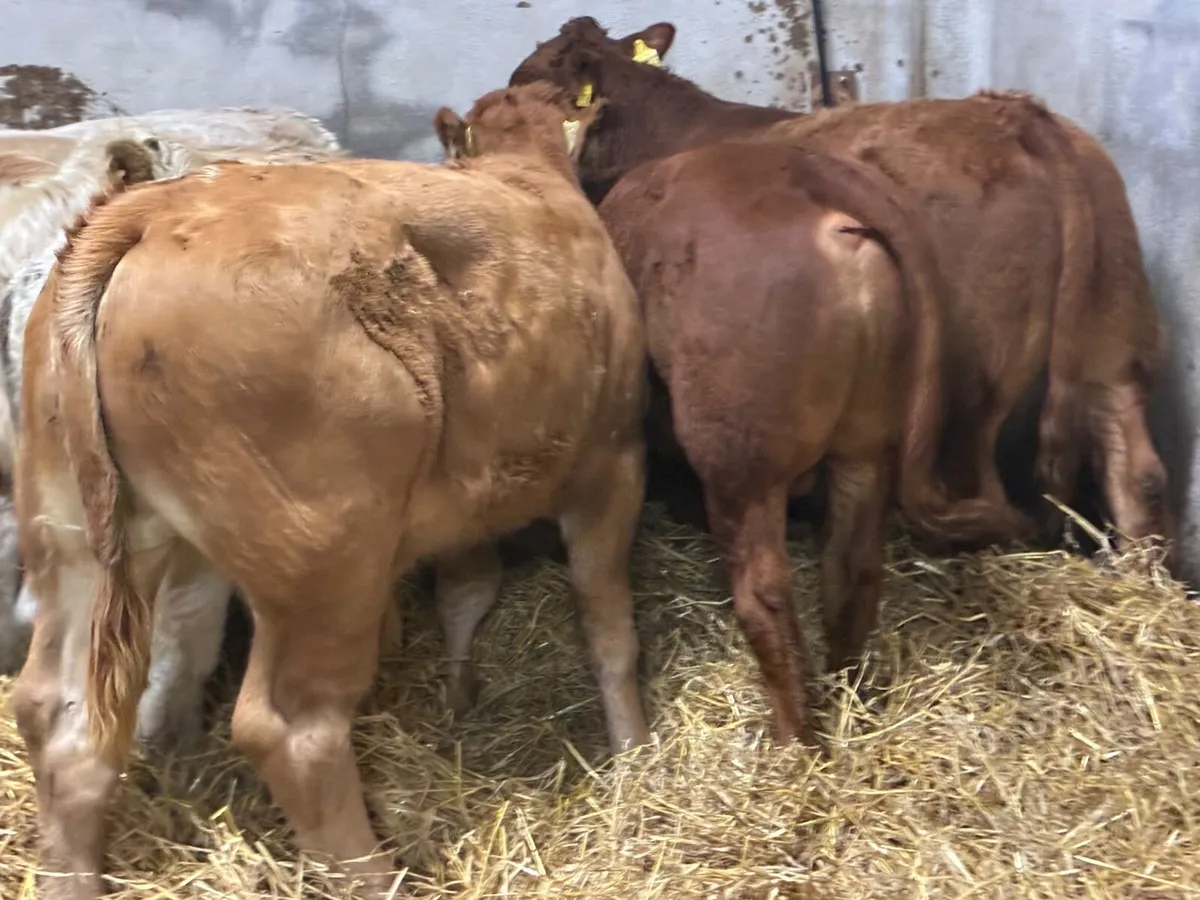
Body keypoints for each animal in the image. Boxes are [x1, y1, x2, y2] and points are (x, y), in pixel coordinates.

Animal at [11, 82, 647, 898]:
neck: (527, 175)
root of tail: (151, 209)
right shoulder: (613, 461)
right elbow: (609, 629)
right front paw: (635, 750)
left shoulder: (467, 506)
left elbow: (468, 592)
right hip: (326, 558)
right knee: (290, 730)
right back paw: (376, 875)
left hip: (75, 536)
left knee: (62, 718)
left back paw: (71, 875)